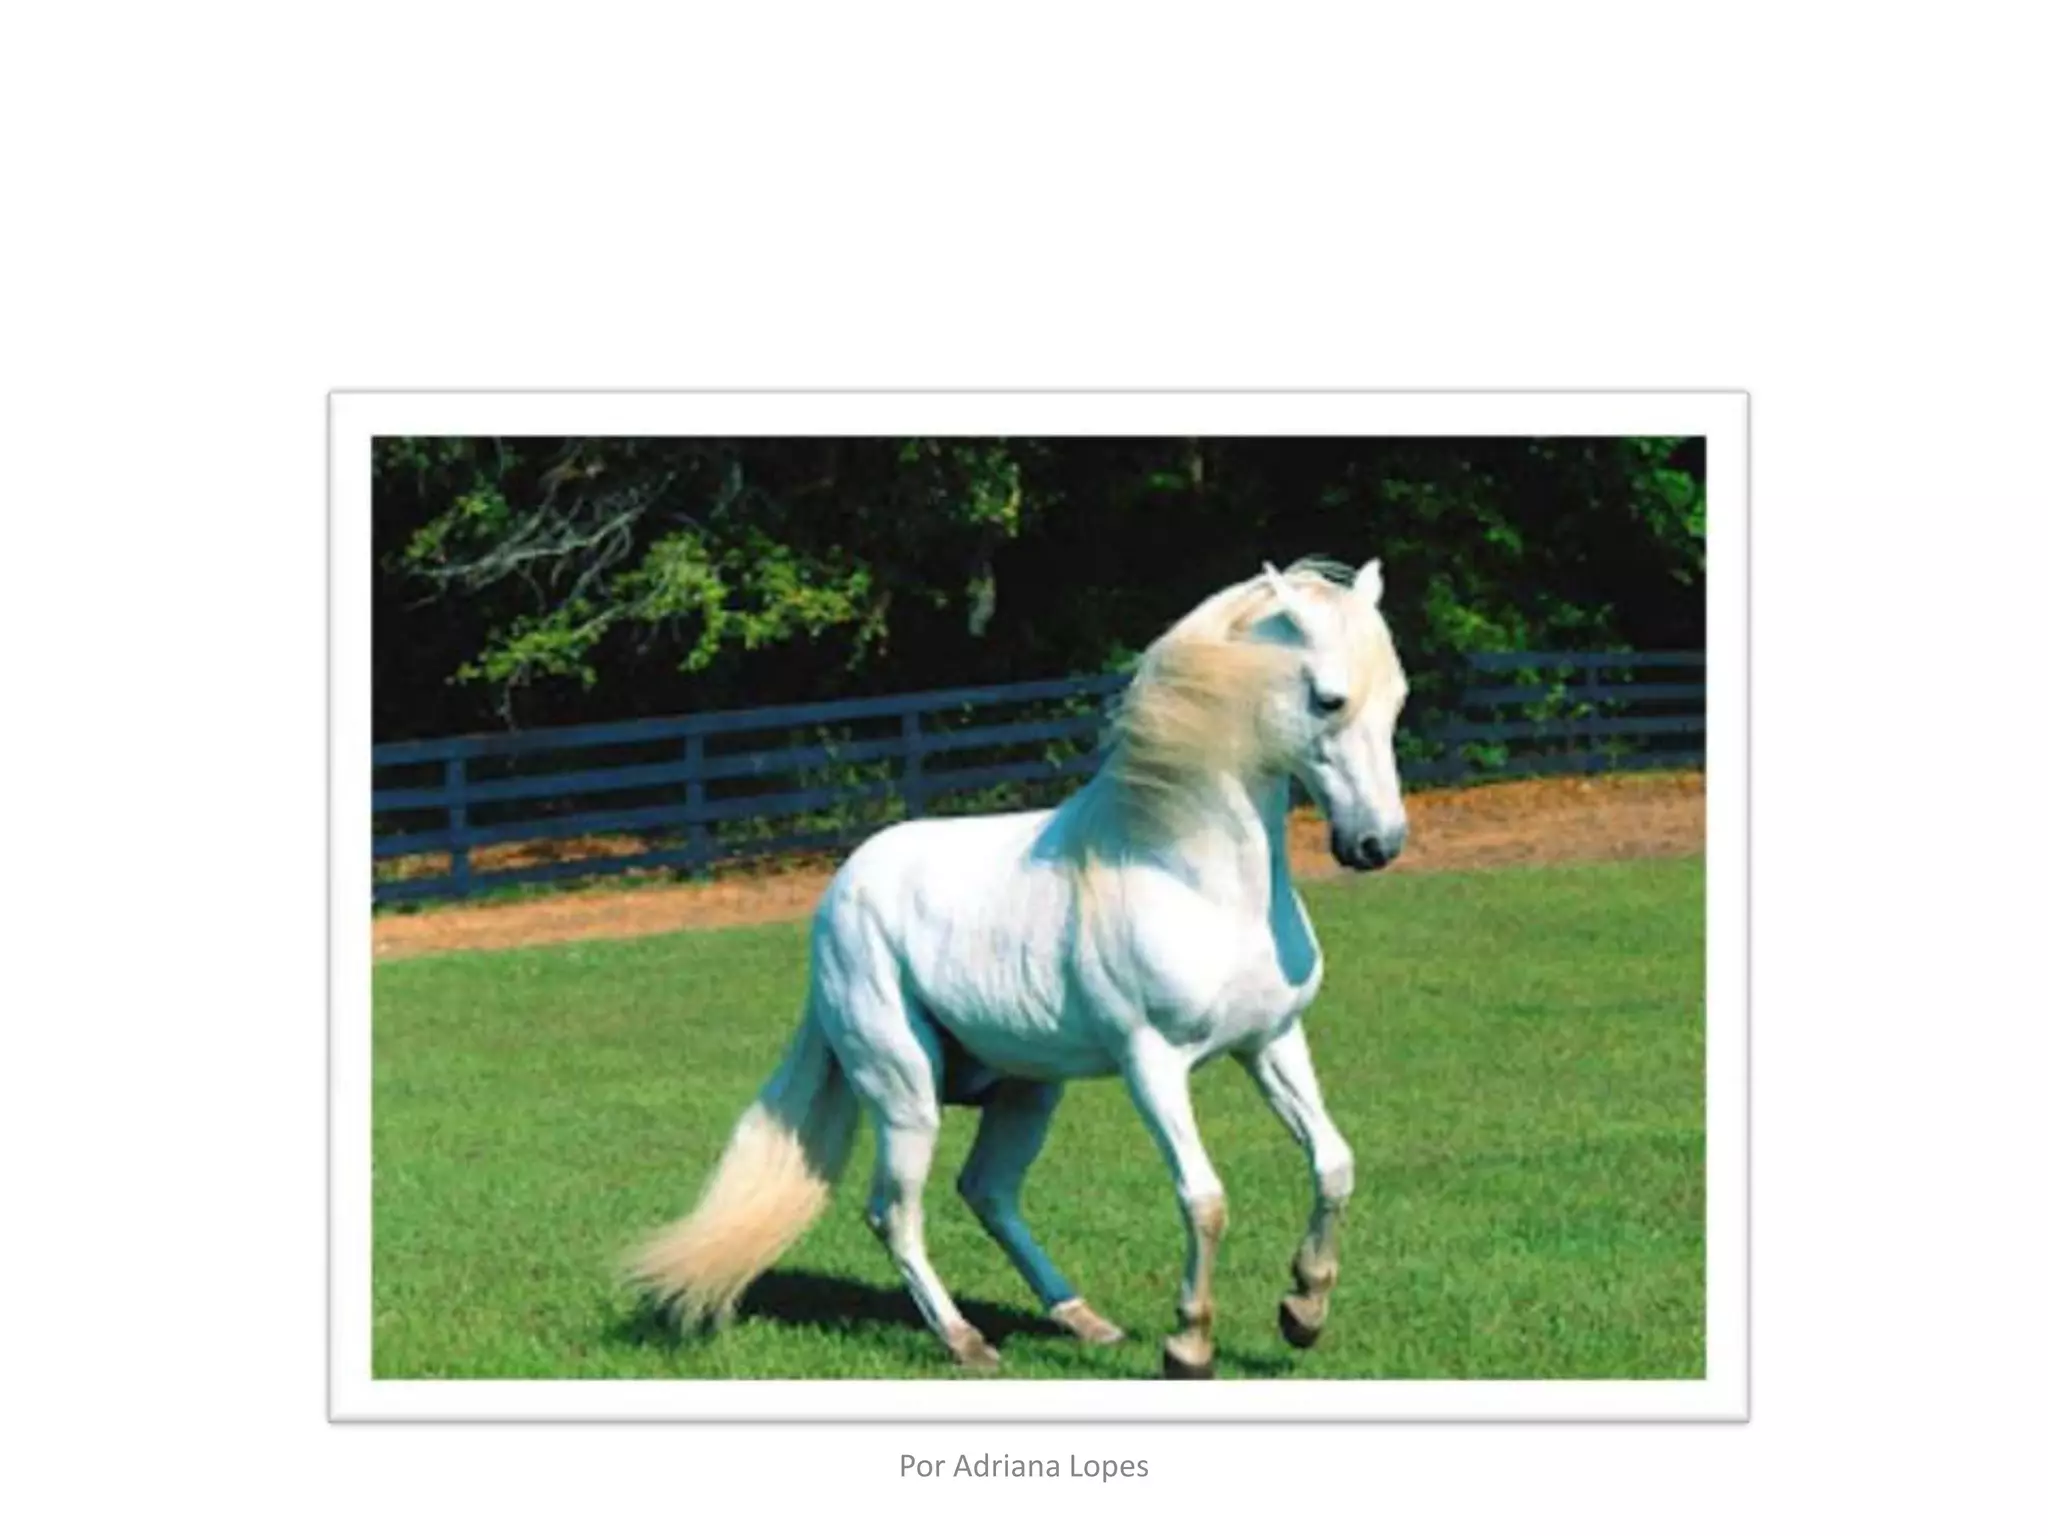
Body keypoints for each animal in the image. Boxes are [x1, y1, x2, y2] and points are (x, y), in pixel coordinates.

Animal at [627, 556, 1411, 1378]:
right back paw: (967, 1341)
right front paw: (1189, 1345)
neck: (1195, 881)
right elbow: (1204, 1198)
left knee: (988, 1191)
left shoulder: (1270, 1042)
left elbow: (1333, 1163)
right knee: (894, 1213)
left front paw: (1303, 1311)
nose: (1376, 845)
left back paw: (1084, 1321)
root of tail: (839, 894)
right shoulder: (1152, 1063)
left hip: (1028, 1090)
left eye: (1398, 699)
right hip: (906, 1092)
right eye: (1328, 699)